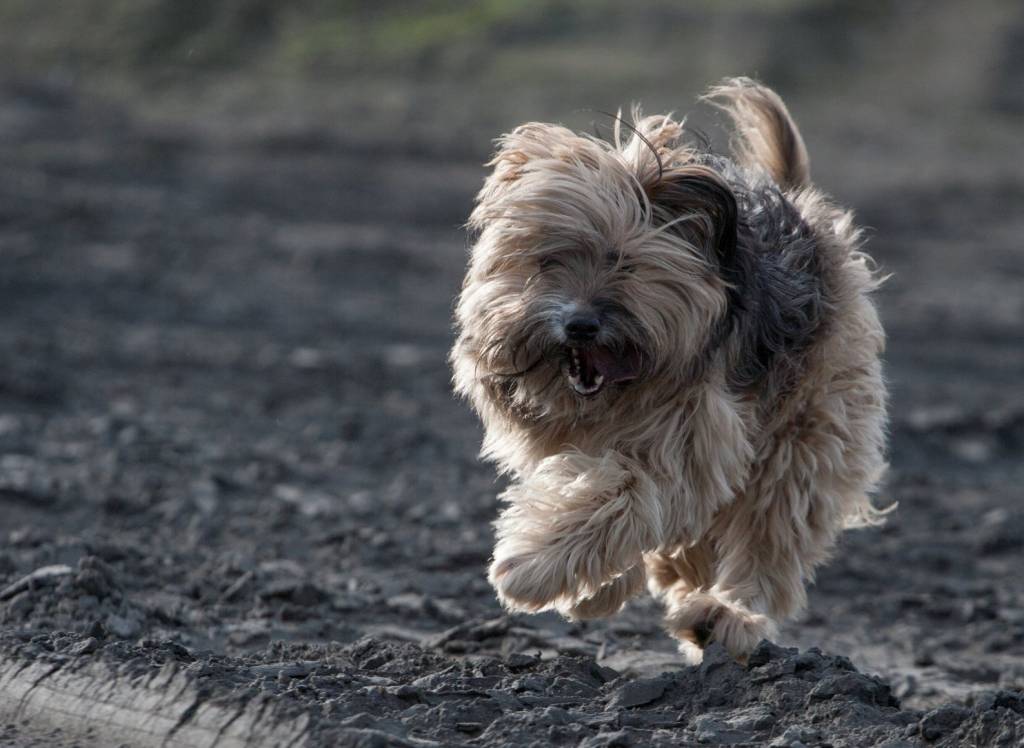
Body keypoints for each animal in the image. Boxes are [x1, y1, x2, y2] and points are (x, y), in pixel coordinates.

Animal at [450, 78, 889, 661]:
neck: (615, 395)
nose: (580, 325)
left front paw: (532, 568)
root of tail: (802, 208)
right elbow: (595, 493)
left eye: (623, 261)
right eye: (548, 260)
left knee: (770, 533)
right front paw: (595, 584)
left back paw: (727, 616)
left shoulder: (692, 437)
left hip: (808, 429)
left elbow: (625, 491)